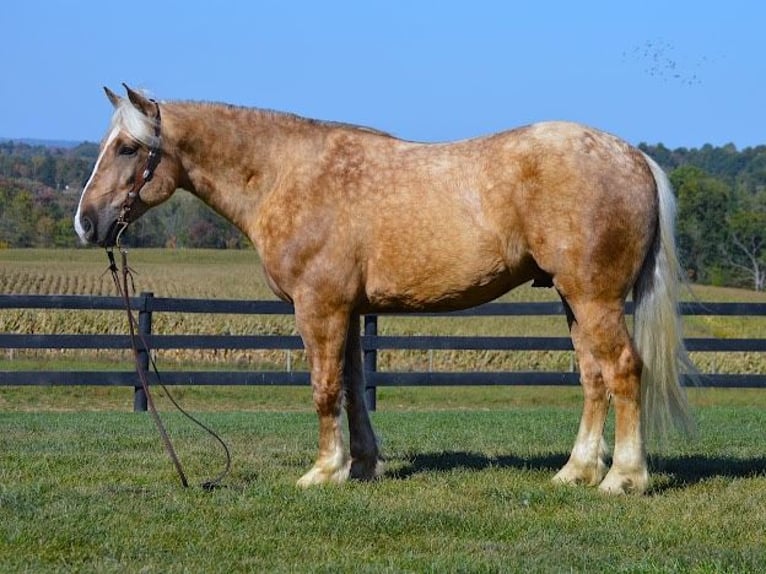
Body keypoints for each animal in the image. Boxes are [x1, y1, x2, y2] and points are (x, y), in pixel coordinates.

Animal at [73, 84, 696, 496]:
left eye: (127, 148)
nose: (86, 223)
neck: (285, 175)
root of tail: (634, 156)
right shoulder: (349, 312)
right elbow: (352, 386)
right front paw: (363, 465)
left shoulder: (320, 308)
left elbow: (324, 389)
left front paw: (323, 471)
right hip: (574, 300)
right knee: (594, 377)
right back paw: (577, 471)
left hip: (594, 299)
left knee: (623, 370)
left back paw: (624, 478)